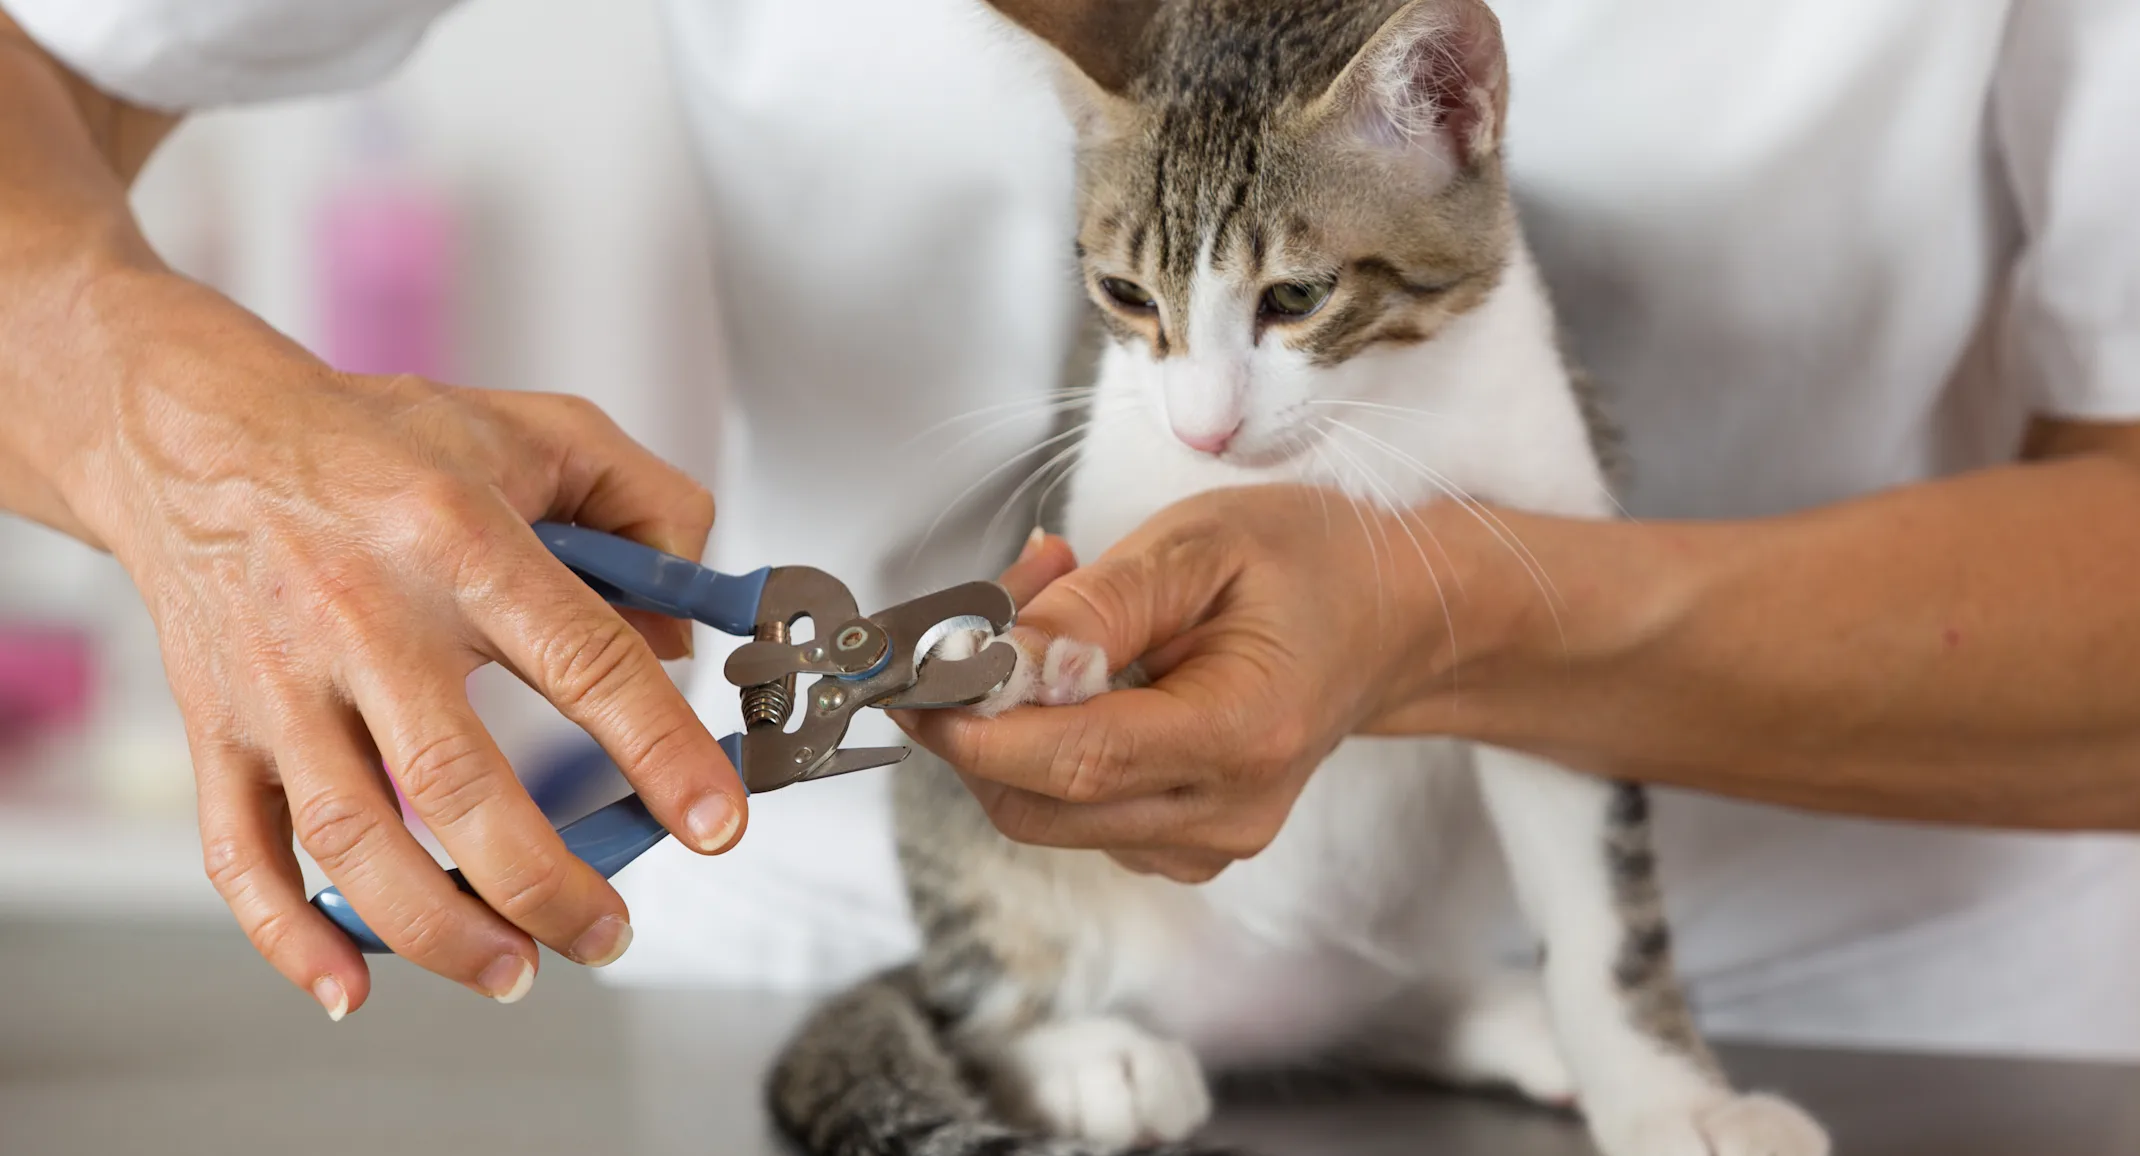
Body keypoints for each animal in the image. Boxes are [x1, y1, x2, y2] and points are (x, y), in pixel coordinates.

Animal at [770, 2, 1823, 1156]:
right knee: (980, 994)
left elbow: (1604, 907)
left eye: (1298, 297)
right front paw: (1031, 662)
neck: (1350, 440)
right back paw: (1088, 1053)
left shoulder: (1554, 565)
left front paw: (1669, 1096)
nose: (1202, 429)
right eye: (1125, 294)